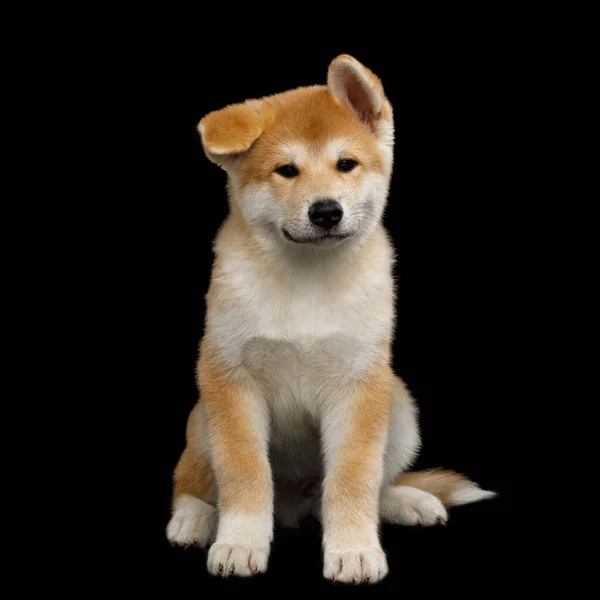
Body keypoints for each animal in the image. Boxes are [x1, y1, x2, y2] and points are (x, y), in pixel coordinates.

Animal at [166, 55, 494, 580]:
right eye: (286, 170)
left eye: (346, 164)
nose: (325, 211)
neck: (308, 277)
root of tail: (295, 505)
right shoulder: (230, 377)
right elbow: (245, 472)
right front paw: (238, 543)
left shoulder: (359, 383)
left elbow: (354, 476)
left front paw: (354, 550)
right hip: (201, 418)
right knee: (191, 480)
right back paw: (194, 519)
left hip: (400, 406)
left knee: (369, 484)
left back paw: (407, 501)